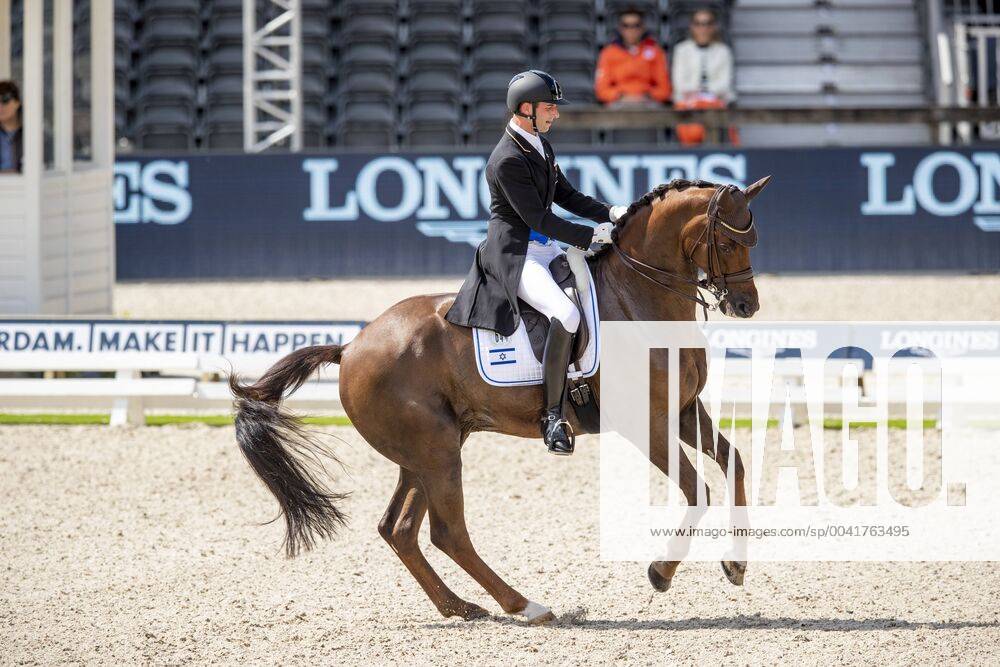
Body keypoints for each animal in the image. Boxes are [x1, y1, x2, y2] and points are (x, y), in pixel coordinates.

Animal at [229, 176, 772, 628]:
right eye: (728, 241)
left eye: (752, 240)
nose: (746, 306)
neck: (638, 297)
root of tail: (352, 346)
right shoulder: (649, 422)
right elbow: (696, 490)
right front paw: (660, 572)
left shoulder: (683, 411)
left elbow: (736, 464)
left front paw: (736, 564)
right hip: (437, 452)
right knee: (447, 533)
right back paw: (525, 606)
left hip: (429, 451)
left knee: (399, 528)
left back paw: (461, 608)